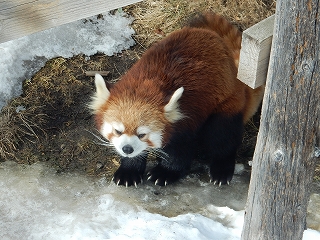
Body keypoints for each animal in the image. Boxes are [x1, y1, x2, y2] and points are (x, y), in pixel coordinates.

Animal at [89, 12, 264, 188]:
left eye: (142, 134)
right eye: (118, 131)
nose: (127, 148)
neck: (145, 88)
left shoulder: (187, 115)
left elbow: (180, 152)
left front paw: (165, 173)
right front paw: (129, 170)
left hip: (227, 102)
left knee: (223, 135)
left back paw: (221, 169)